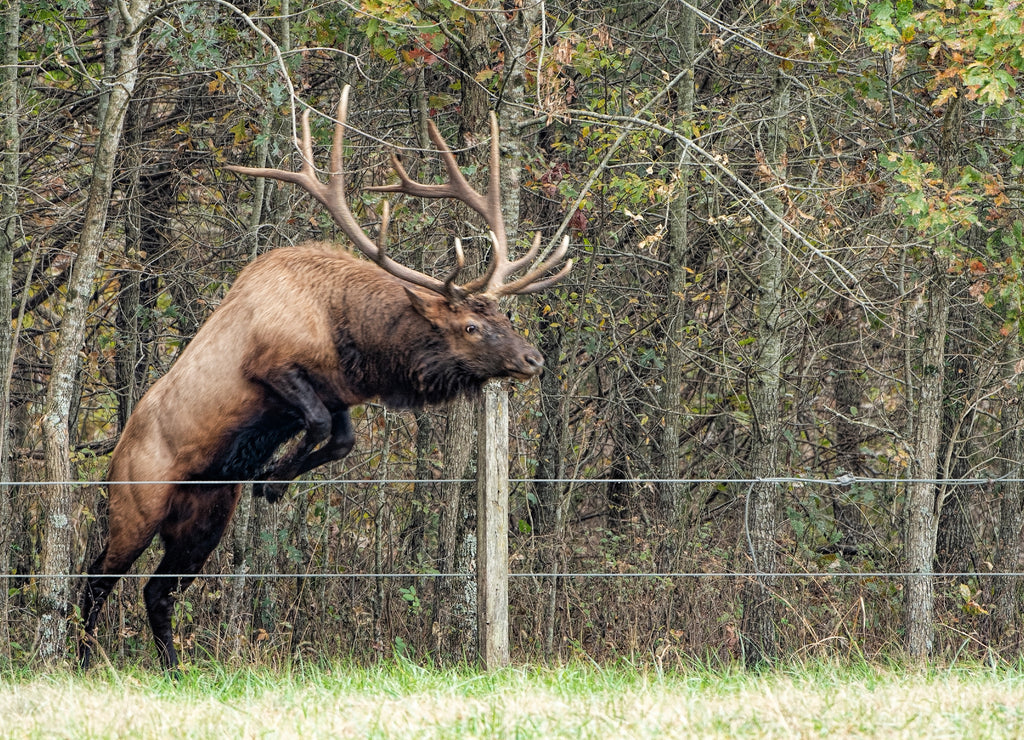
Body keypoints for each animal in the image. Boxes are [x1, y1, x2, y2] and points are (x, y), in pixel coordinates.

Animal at [79, 88, 573, 671]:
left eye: (502, 316)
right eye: (470, 326)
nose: (532, 359)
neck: (350, 334)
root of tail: (114, 456)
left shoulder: (338, 393)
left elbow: (341, 441)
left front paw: (274, 478)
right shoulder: (271, 367)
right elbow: (314, 424)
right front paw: (271, 480)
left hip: (205, 515)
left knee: (156, 591)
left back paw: (174, 670)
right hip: (137, 502)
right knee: (95, 579)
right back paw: (82, 659)